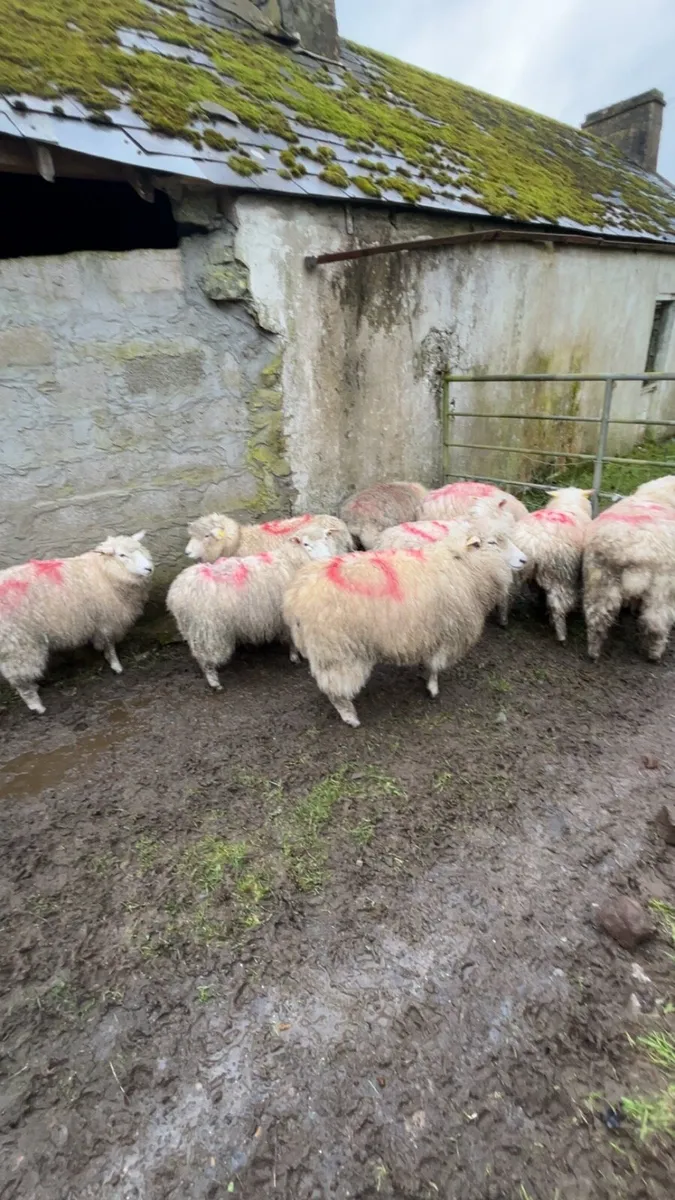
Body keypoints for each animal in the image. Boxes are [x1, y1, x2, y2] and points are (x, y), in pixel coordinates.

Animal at [0, 532, 153, 714]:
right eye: (122, 555)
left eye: (140, 549)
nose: (149, 569)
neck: (104, 572)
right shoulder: (106, 619)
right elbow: (109, 644)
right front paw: (116, 665)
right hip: (19, 644)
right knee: (19, 679)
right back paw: (36, 705)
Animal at [166, 532, 334, 691]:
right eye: (306, 544)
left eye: (325, 539)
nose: (328, 558)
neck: (292, 561)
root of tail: (177, 594)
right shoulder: (288, 616)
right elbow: (292, 639)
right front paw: (295, 657)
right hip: (208, 630)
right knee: (206, 658)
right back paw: (214, 682)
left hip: (193, 629)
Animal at [283, 529, 528, 727]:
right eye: (493, 542)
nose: (524, 559)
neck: (461, 564)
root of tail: (295, 594)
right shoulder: (447, 633)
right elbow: (435, 666)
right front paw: (432, 688)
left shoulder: (431, 632)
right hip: (338, 651)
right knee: (335, 690)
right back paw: (350, 717)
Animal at [510, 487, 593, 642]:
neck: (568, 504)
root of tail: (534, 543)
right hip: (560, 573)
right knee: (558, 605)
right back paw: (561, 635)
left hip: (516, 569)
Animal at [583, 476, 675, 661]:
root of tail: (631, 550)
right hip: (662, 585)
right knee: (656, 621)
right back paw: (654, 653)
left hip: (600, 578)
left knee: (597, 616)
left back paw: (594, 651)